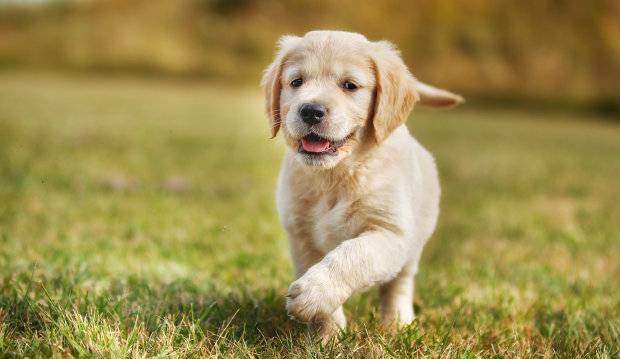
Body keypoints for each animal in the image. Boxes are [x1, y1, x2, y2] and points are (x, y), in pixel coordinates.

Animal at [260, 31, 462, 340]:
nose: (310, 110)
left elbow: (352, 255)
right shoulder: (302, 237)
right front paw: (328, 336)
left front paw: (314, 293)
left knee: (399, 285)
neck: (336, 175)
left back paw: (397, 323)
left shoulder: (390, 233)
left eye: (349, 86)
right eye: (296, 82)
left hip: (414, 244)